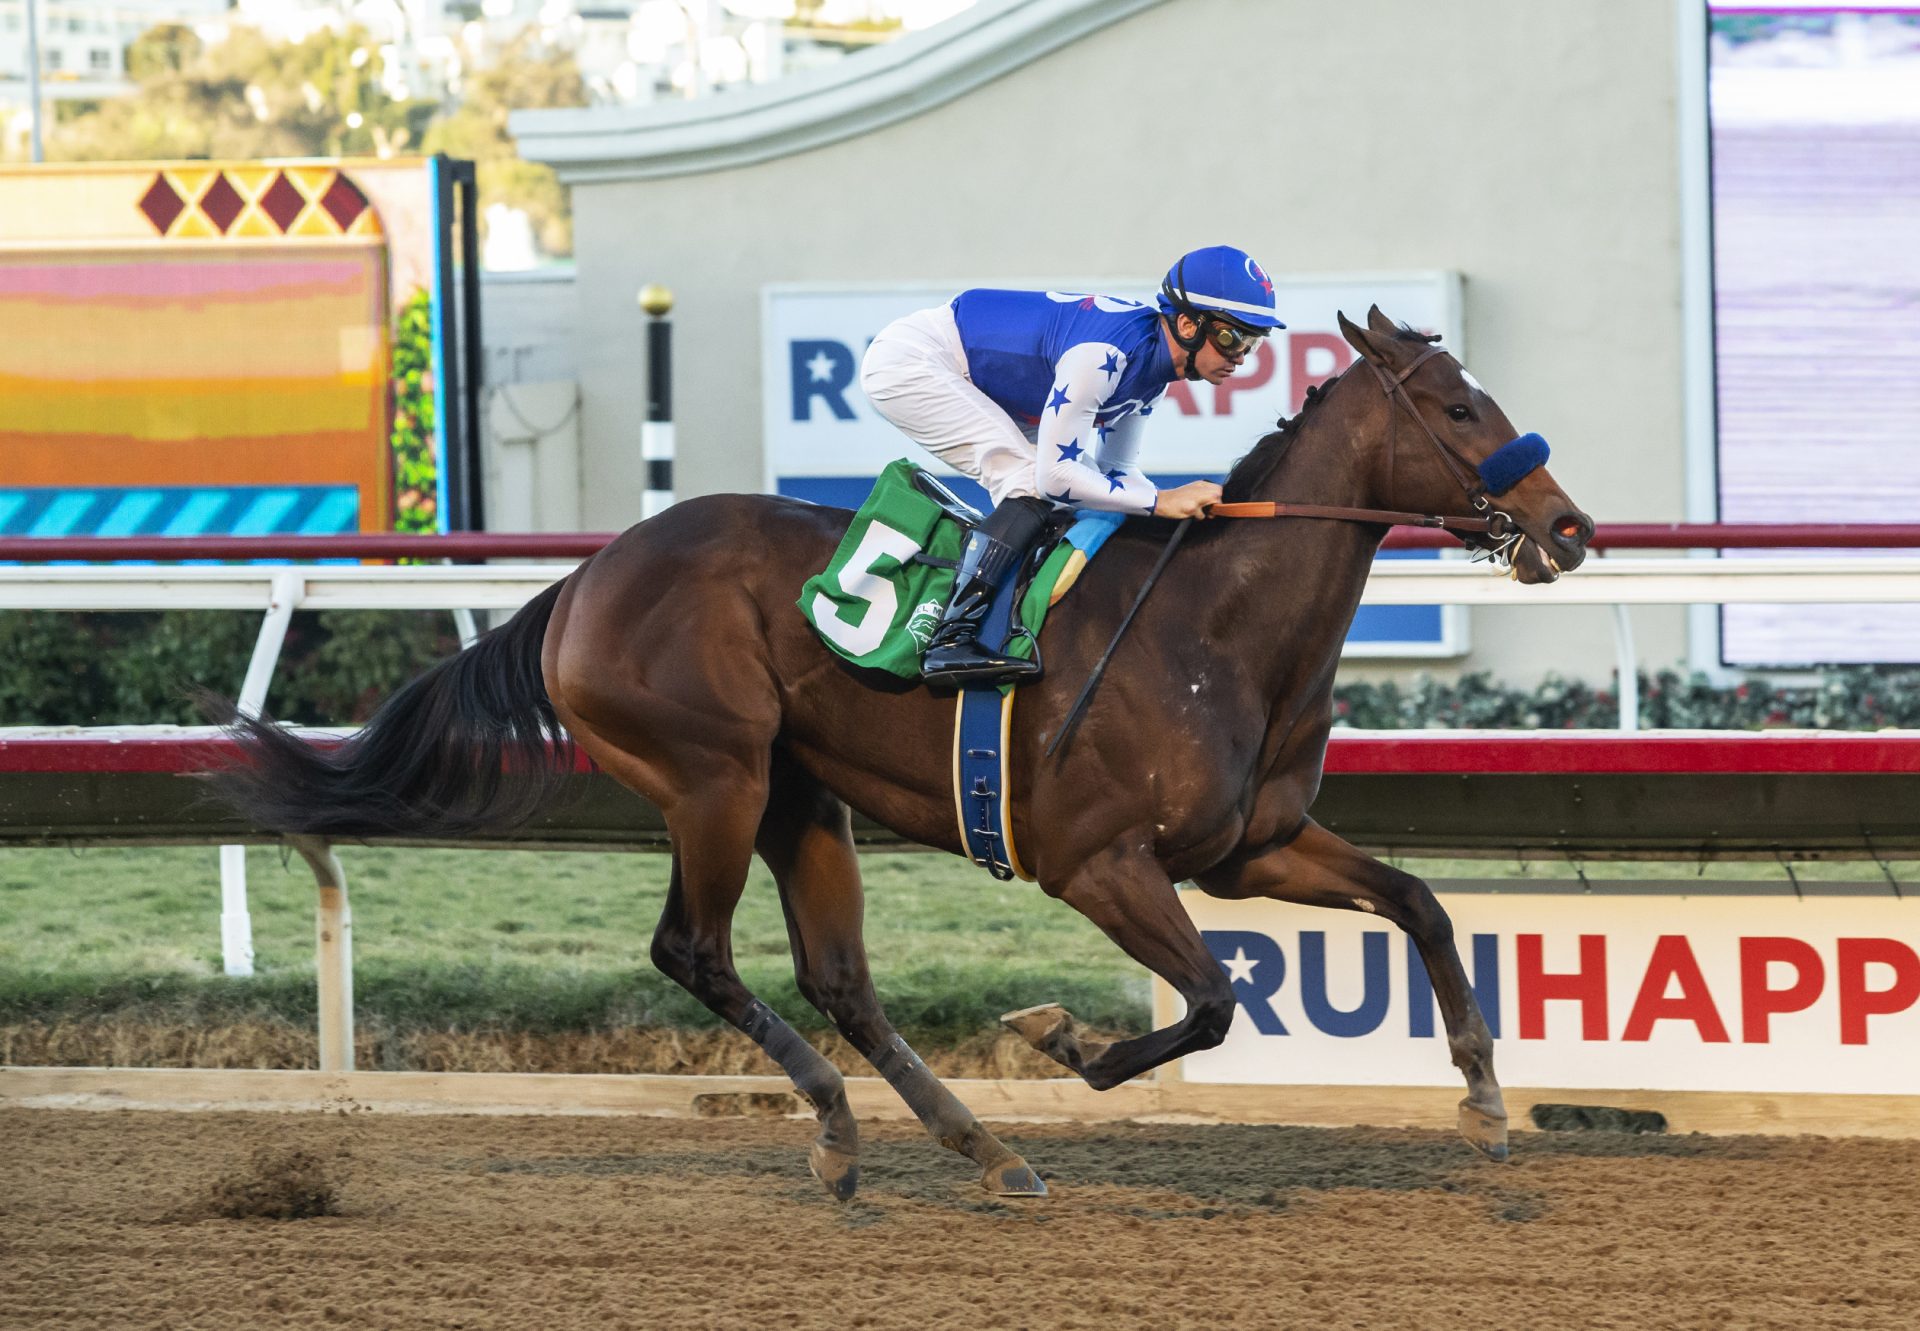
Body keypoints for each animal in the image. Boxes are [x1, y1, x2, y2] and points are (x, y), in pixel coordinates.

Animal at [220, 309, 1589, 1190]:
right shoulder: (1097, 863)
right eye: (1458, 406)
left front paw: (1482, 1099)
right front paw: (1064, 1038)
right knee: (693, 949)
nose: (1568, 525)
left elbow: (1418, 902)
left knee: (840, 978)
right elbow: (1210, 1001)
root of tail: (585, 578)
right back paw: (840, 1122)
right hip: (713, 777)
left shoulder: (1250, 847)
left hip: (799, 795)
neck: (1214, 625)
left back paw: (981, 1146)